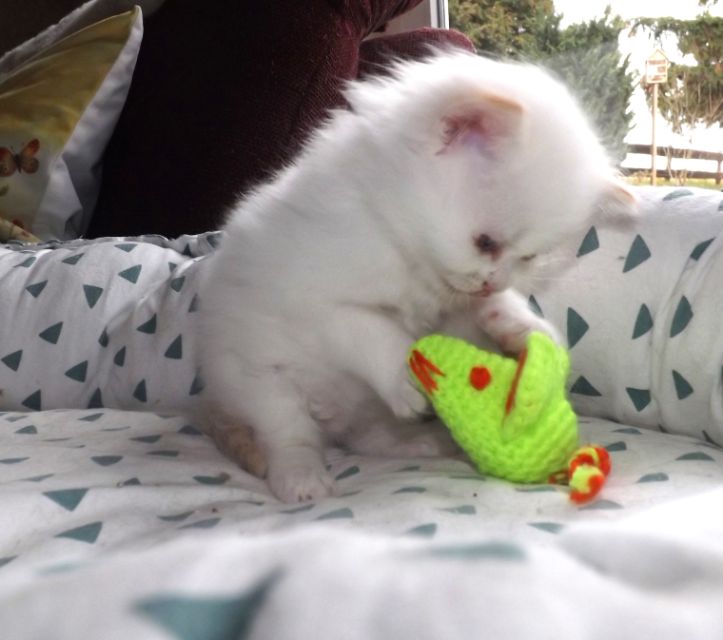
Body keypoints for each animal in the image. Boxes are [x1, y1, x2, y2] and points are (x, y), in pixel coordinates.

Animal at [197, 51, 634, 503]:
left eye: (528, 257)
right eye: (485, 242)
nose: (492, 280)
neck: (400, 244)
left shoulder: (455, 305)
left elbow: (491, 310)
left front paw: (520, 328)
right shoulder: (313, 301)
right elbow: (371, 329)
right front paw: (405, 376)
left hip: (354, 411)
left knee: (369, 437)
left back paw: (421, 443)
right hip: (259, 380)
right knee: (289, 435)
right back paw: (302, 477)